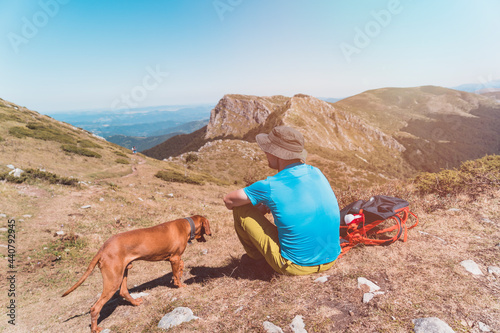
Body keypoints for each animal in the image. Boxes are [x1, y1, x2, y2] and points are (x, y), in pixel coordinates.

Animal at [62, 214, 211, 330]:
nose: (210, 235)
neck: (186, 225)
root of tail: (103, 248)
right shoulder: (174, 257)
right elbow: (177, 276)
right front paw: (179, 285)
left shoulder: (175, 258)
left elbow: (180, 266)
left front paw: (180, 272)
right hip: (113, 280)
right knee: (95, 308)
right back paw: (95, 328)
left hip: (123, 272)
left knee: (123, 291)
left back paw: (135, 303)